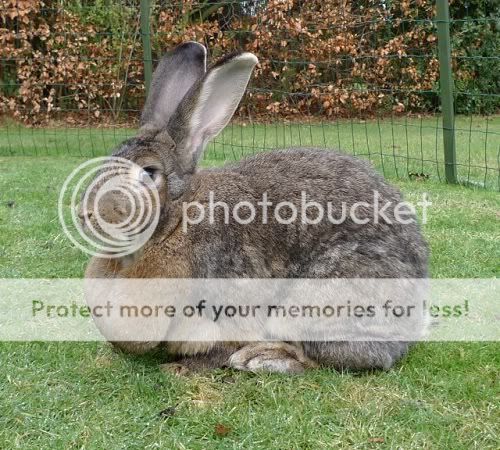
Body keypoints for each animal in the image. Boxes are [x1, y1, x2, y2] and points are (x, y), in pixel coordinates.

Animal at [80, 42, 428, 374]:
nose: (86, 215)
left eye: (149, 173)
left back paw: (261, 359)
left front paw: (179, 369)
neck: (175, 221)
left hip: (322, 299)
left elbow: (217, 346)